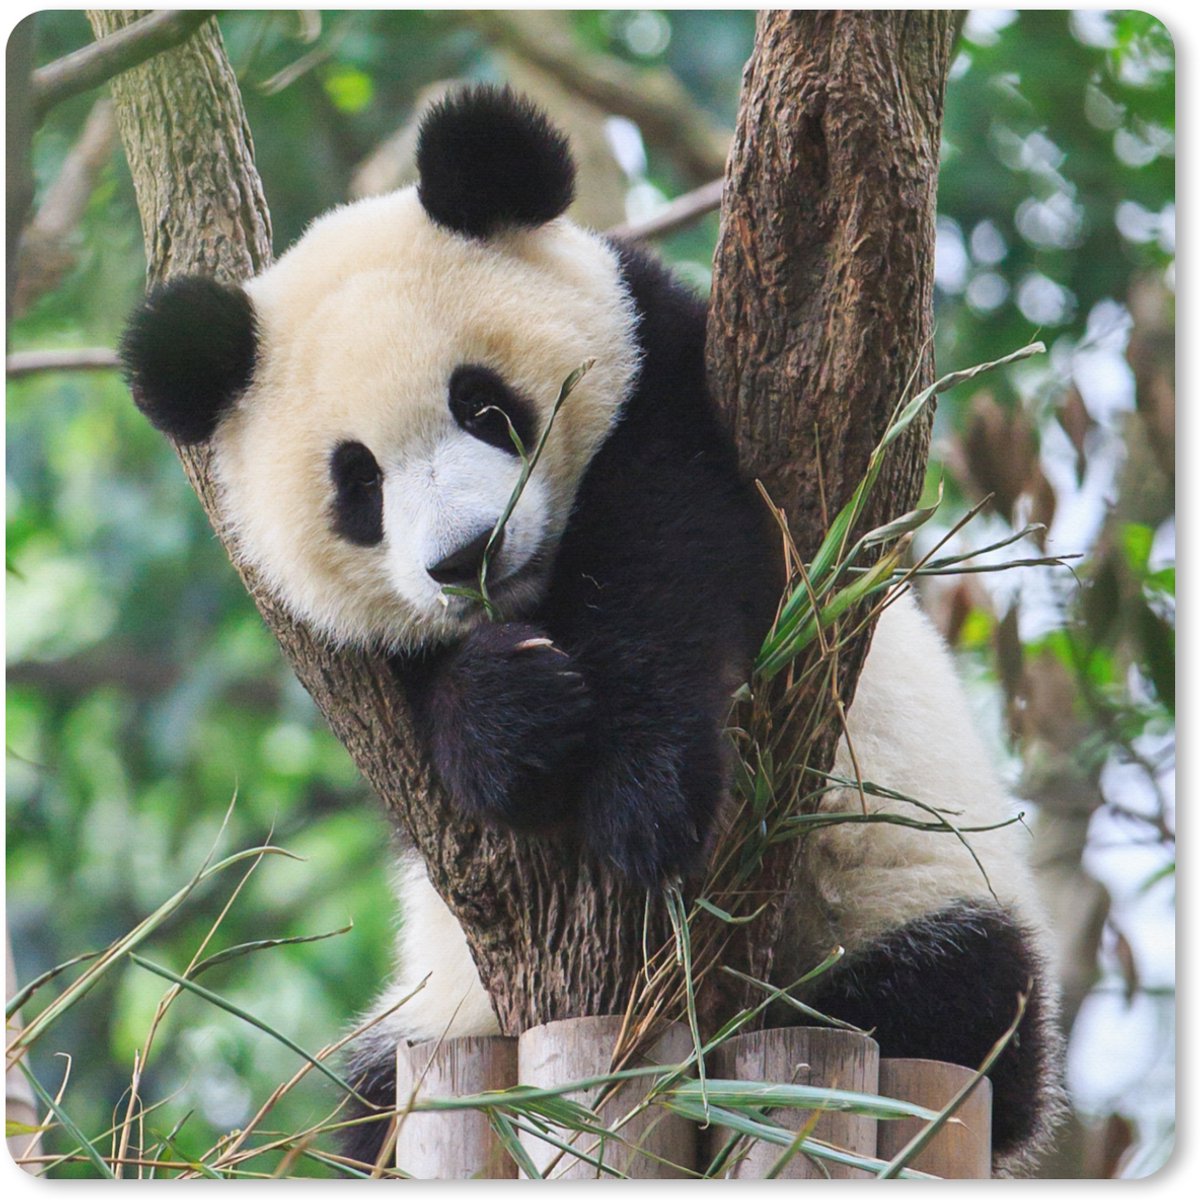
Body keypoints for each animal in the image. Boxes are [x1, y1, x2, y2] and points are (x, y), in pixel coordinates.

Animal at [120, 87, 1061, 1173]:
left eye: (484, 405)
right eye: (358, 483)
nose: (468, 556)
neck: (540, 594)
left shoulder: (671, 380)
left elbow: (678, 555)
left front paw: (642, 797)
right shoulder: (348, 660)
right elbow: (412, 721)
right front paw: (510, 718)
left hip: (908, 889)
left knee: (940, 1000)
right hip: (433, 1018)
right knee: (368, 1104)